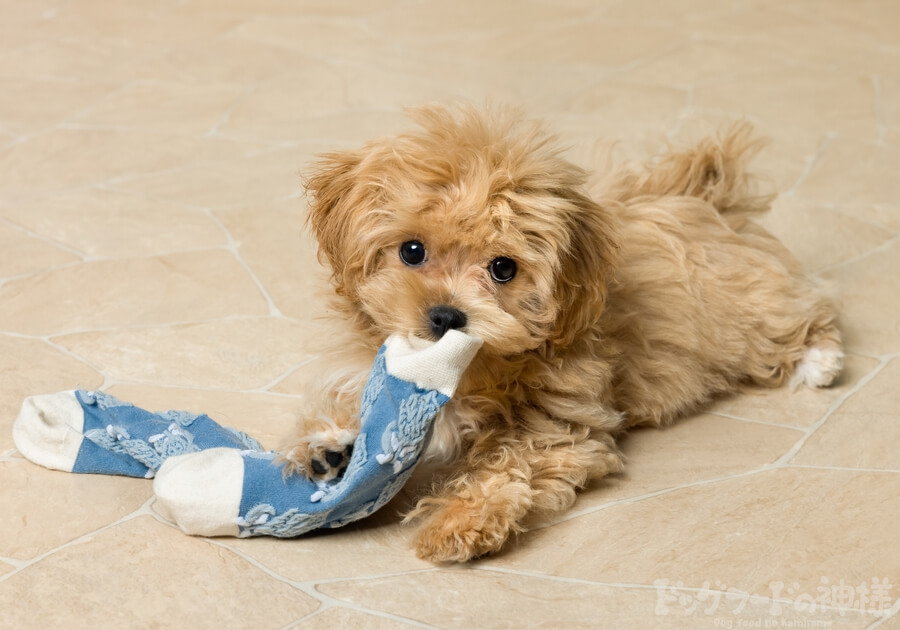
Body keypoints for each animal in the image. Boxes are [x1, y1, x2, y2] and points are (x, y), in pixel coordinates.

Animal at [284, 106, 844, 564]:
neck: (477, 370)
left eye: (503, 268)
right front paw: (328, 446)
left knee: (800, 318)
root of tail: (700, 200)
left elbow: (508, 462)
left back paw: (819, 359)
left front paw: (461, 522)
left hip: (749, 317)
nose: (445, 316)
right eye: (412, 251)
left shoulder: (559, 422)